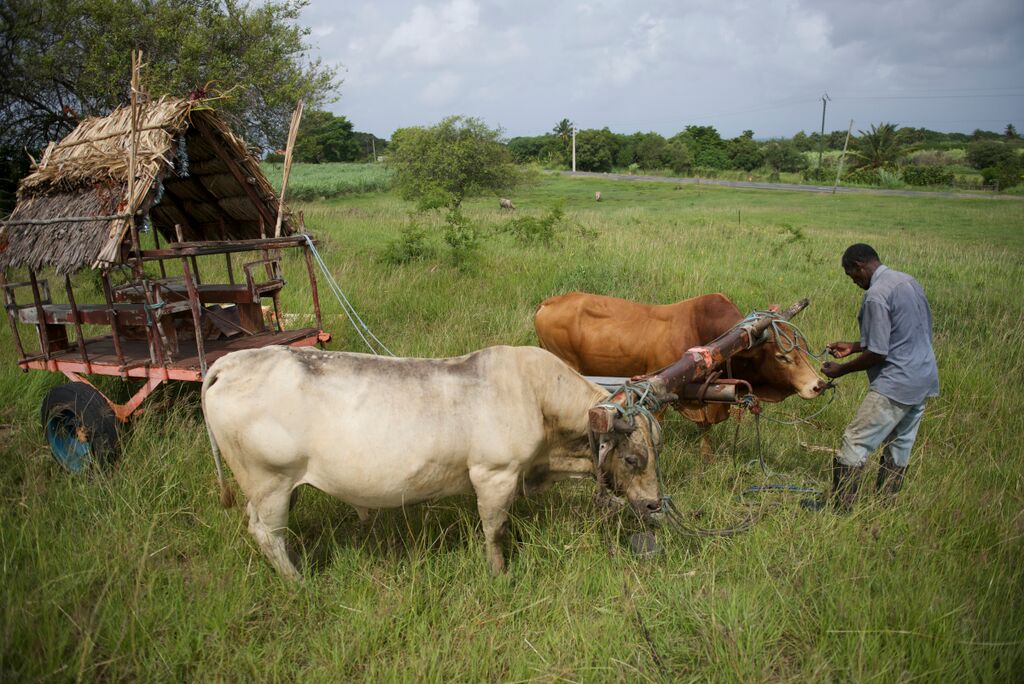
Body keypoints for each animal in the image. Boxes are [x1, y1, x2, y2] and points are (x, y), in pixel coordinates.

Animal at [202, 348, 659, 577]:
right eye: (633, 458)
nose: (655, 503)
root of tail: (232, 361)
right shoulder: (494, 474)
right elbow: (494, 531)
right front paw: (500, 574)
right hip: (270, 482)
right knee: (268, 535)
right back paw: (299, 581)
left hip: (274, 488)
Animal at [532, 290, 827, 456]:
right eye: (782, 356)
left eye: (803, 348)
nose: (817, 385)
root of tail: (548, 303)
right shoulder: (659, 394)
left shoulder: (705, 394)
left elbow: (705, 428)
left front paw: (706, 458)